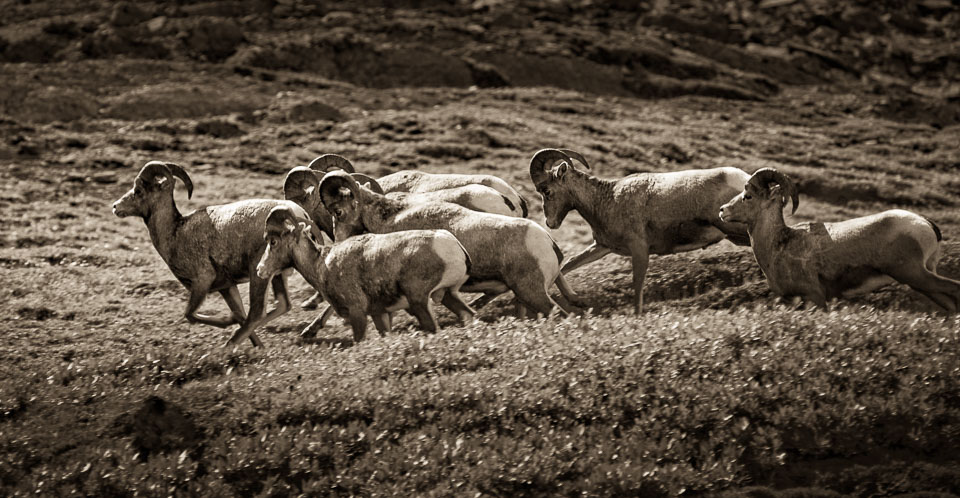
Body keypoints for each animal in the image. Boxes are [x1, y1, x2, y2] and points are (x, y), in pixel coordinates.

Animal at [112, 161, 309, 347]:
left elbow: (190, 315)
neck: (175, 232)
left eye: (138, 190)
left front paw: (228, 321)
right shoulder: (226, 287)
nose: (115, 207)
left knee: (256, 314)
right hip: (276, 274)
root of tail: (299, 215)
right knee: (281, 305)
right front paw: (258, 347)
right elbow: (239, 314)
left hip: (258, 274)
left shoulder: (202, 281)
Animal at [255, 206, 475, 341]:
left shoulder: (357, 313)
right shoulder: (379, 314)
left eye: (273, 241)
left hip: (419, 301)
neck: (321, 263)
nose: (259, 270)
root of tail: (452, 245)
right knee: (469, 316)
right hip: (448, 295)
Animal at [529, 148, 751, 314]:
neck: (607, 200)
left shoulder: (639, 250)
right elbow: (567, 266)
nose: (550, 223)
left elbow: (637, 284)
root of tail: (743, 180)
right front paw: (576, 300)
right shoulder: (603, 247)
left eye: (546, 191)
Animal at [718, 168, 960, 311]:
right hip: (921, 282)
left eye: (748, 196)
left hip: (914, 274)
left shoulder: (816, 297)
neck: (779, 245)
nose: (722, 210)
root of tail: (925, 224)